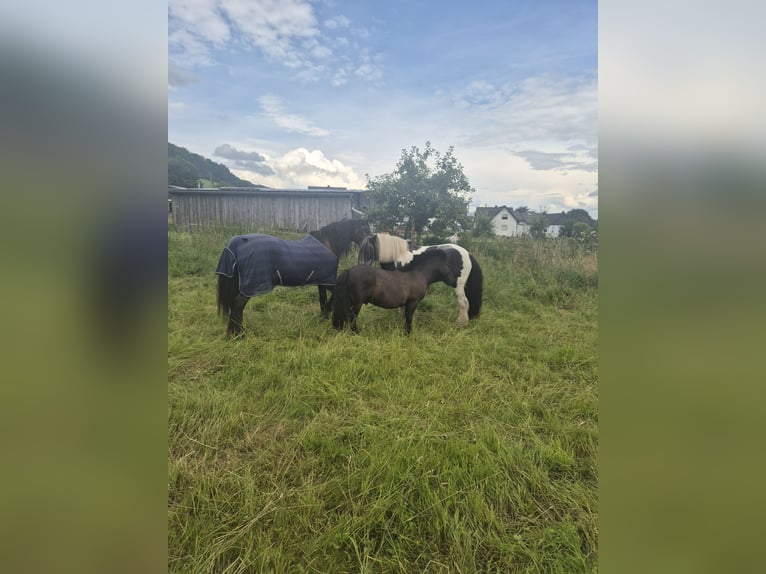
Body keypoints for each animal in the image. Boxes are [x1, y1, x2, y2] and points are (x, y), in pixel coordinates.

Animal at [216, 219, 372, 338]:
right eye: (365, 230)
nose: (370, 251)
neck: (327, 243)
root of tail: (238, 243)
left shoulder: (322, 281)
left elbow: (322, 300)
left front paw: (323, 317)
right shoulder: (328, 281)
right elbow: (331, 298)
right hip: (250, 285)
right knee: (237, 305)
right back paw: (238, 335)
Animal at [332, 245, 462, 336]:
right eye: (448, 265)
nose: (455, 282)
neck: (417, 275)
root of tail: (349, 271)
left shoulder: (406, 304)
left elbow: (406, 317)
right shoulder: (413, 302)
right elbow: (409, 318)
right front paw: (408, 334)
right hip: (357, 303)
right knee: (352, 316)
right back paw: (356, 332)